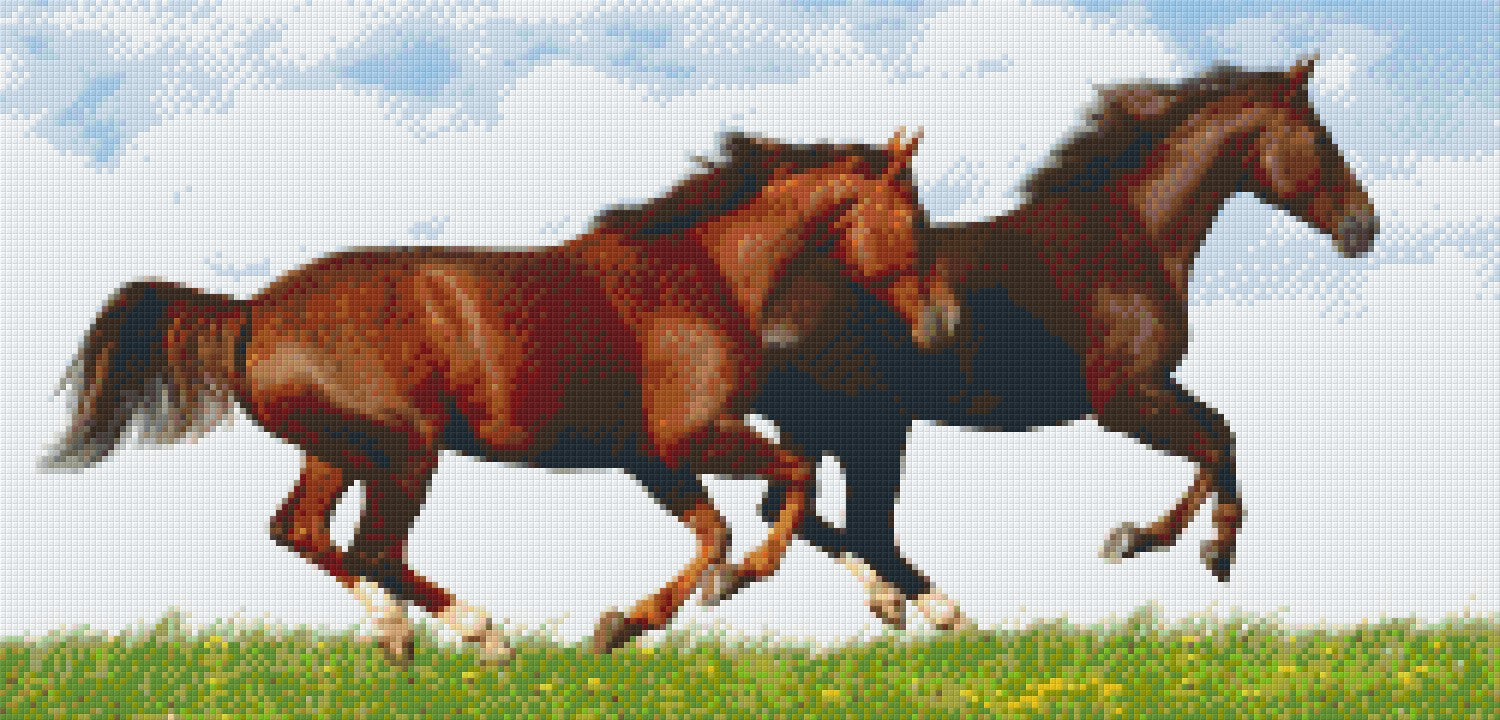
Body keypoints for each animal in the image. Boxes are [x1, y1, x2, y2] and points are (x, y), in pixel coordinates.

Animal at [40, 129, 961, 662]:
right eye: (917, 214)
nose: (946, 321)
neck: (705, 275)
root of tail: (253, 309)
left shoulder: (649, 459)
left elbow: (722, 527)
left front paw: (628, 622)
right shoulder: (692, 438)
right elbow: (787, 490)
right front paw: (732, 589)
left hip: (338, 451)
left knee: (301, 531)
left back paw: (396, 635)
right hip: (404, 453)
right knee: (373, 547)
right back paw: (482, 634)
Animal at [742, 56, 1379, 629]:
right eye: (1320, 138)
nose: (1364, 228)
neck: (1132, 238)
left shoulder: (1152, 383)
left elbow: (1222, 433)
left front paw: (1203, 549)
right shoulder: (1119, 401)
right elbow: (1212, 447)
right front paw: (1147, 541)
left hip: (824, 426)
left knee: (788, 507)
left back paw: (892, 602)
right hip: (865, 426)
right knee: (844, 521)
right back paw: (940, 611)